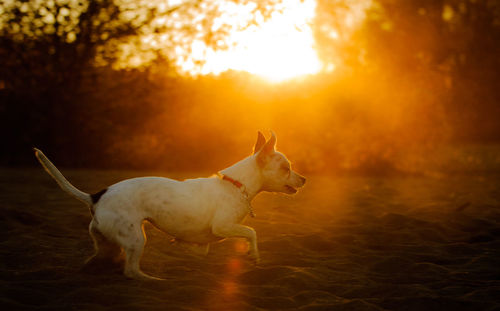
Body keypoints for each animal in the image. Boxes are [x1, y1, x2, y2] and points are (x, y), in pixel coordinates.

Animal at [34, 130, 304, 282]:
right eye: (286, 168)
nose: (303, 179)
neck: (238, 185)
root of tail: (95, 197)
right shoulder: (223, 226)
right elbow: (252, 232)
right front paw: (254, 254)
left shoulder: (207, 240)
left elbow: (199, 247)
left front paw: (180, 243)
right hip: (136, 239)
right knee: (131, 271)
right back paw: (153, 280)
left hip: (109, 243)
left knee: (100, 261)